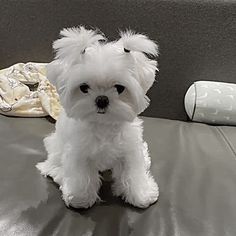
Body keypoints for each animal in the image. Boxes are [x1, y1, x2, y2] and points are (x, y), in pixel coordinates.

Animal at [36, 25, 159, 208]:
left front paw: (141, 193)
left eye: (120, 88)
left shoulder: (129, 150)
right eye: (84, 88)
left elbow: (133, 173)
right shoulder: (78, 152)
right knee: (53, 164)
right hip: (56, 146)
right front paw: (80, 197)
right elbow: (81, 177)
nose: (102, 99)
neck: (103, 125)